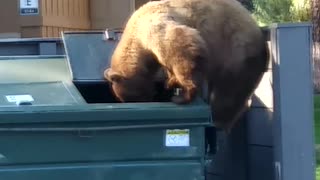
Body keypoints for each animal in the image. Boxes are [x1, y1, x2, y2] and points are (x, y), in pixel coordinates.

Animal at [104, 0, 268, 132]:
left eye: (133, 96)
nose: (145, 101)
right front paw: (171, 81)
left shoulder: (154, 28)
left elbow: (182, 47)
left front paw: (181, 95)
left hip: (236, 51)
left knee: (229, 91)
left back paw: (218, 121)